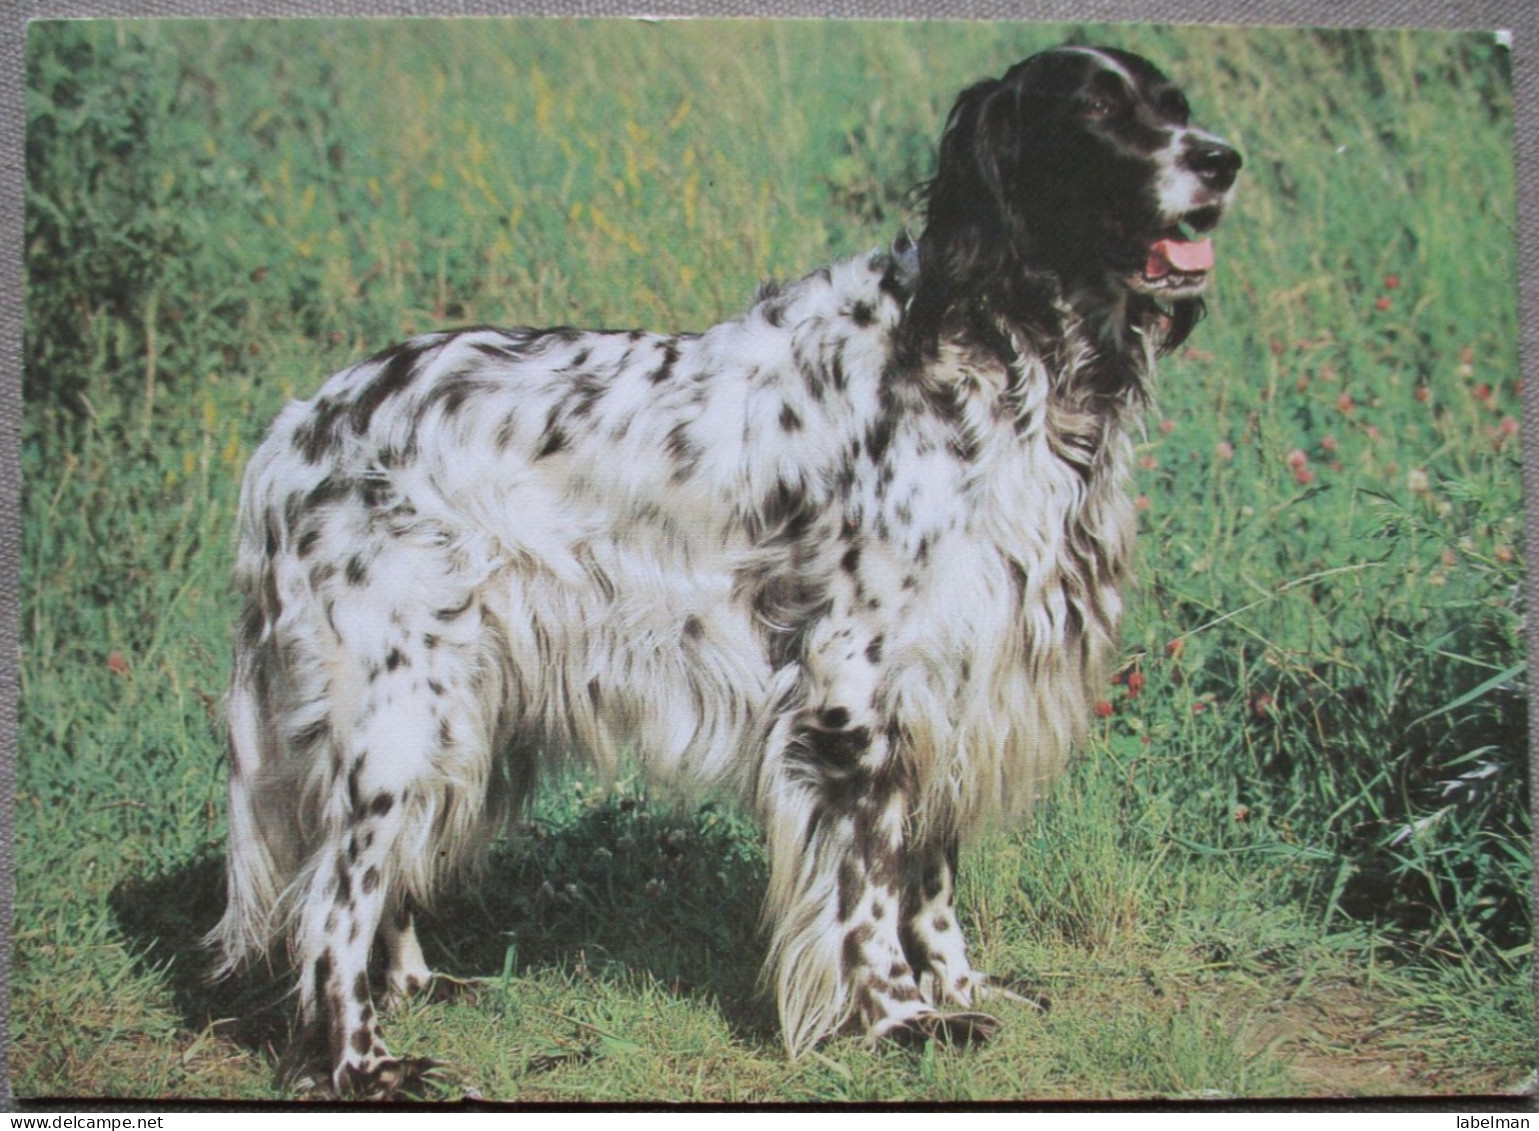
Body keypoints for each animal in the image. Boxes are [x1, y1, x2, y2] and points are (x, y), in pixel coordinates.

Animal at [207, 46, 1237, 1095]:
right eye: (1097, 112)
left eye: (1173, 104)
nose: (1221, 159)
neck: (996, 344)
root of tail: (298, 429)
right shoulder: (851, 691)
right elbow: (869, 882)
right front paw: (897, 1016)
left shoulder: (952, 679)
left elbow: (930, 867)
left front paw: (956, 985)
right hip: (398, 711)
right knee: (334, 898)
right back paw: (358, 1061)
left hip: (458, 709)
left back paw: (415, 986)